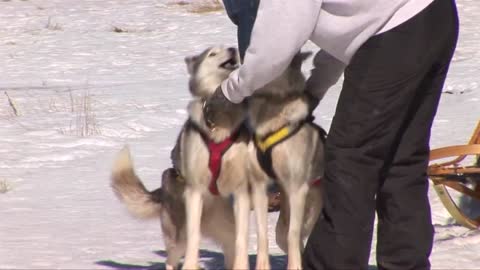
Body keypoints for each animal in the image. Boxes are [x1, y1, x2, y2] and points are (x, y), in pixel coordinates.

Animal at [110, 47, 249, 270]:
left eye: (229, 47)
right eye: (212, 53)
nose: (233, 49)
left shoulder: (241, 190)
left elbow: (241, 238)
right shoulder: (194, 192)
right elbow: (193, 237)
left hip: (225, 230)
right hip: (177, 233)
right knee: (173, 256)